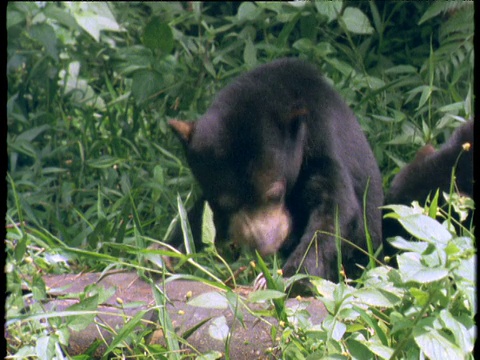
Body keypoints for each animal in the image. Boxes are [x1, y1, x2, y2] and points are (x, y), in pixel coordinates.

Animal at [169, 57, 382, 282]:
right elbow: (195, 221)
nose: (263, 246)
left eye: (275, 193)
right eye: (224, 204)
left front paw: (293, 276)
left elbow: (335, 213)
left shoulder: (324, 143)